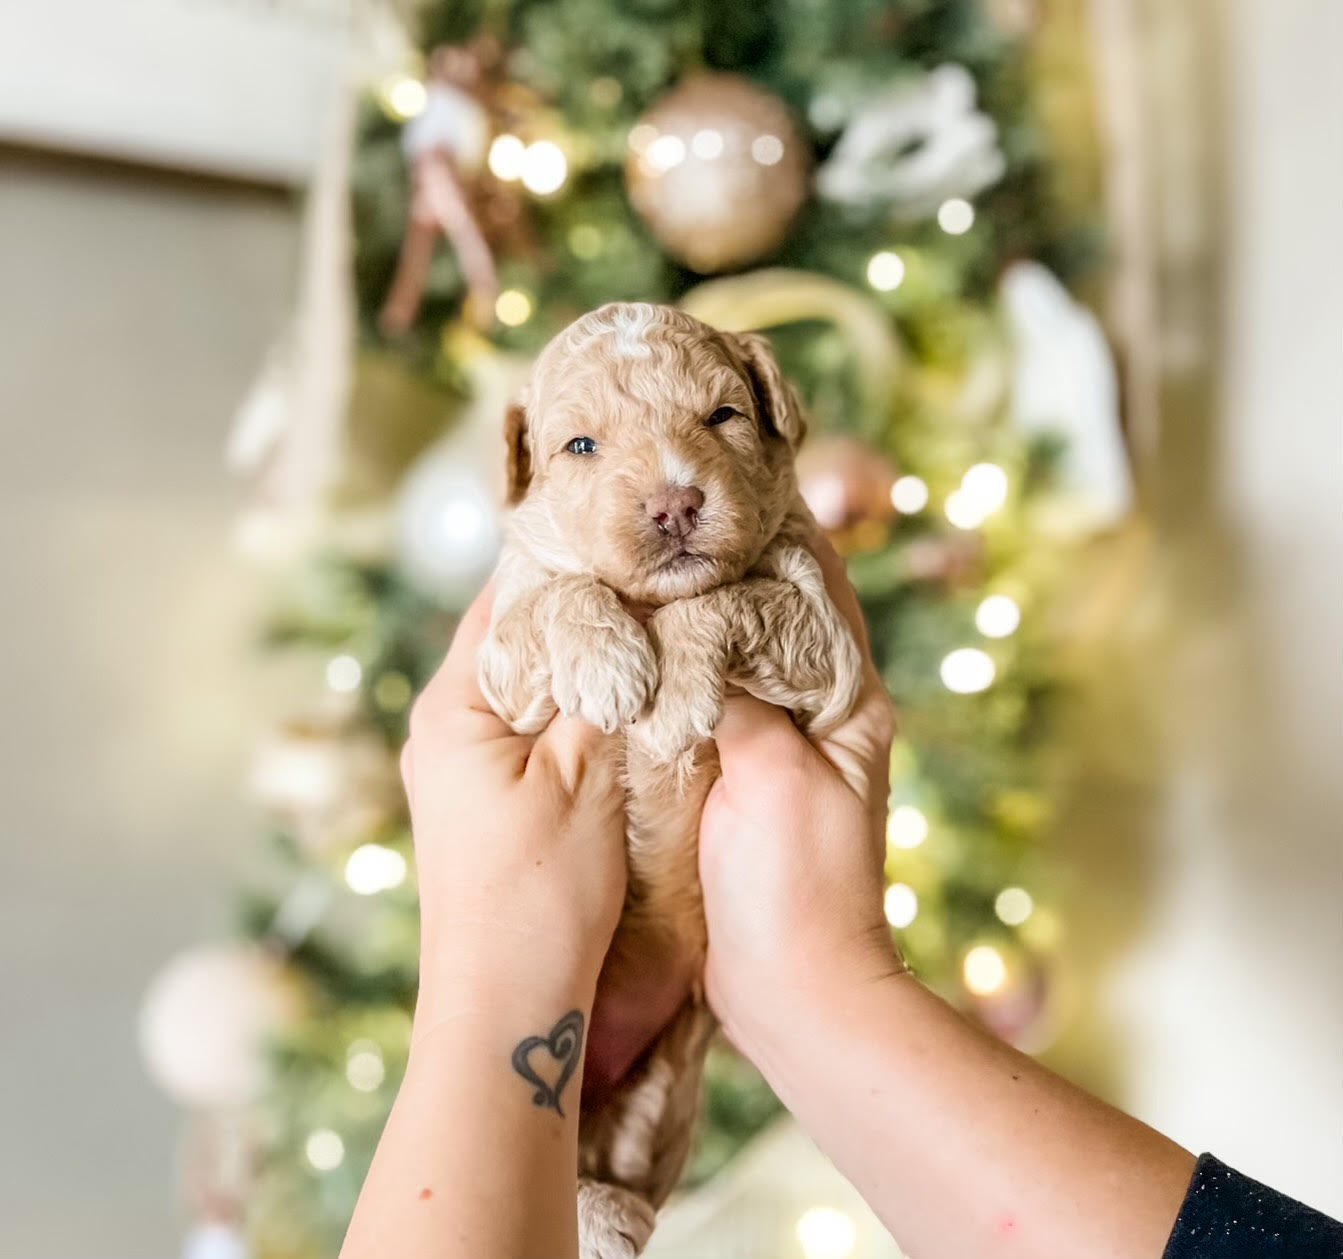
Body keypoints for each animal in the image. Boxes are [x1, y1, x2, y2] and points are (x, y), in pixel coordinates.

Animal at [480, 299, 859, 1252]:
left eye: (723, 415)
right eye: (580, 445)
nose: (675, 502)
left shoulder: (824, 637)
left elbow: (720, 596)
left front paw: (676, 699)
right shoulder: (500, 655)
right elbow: (561, 593)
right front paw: (611, 665)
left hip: (659, 1093)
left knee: (634, 1184)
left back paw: (613, 1217)